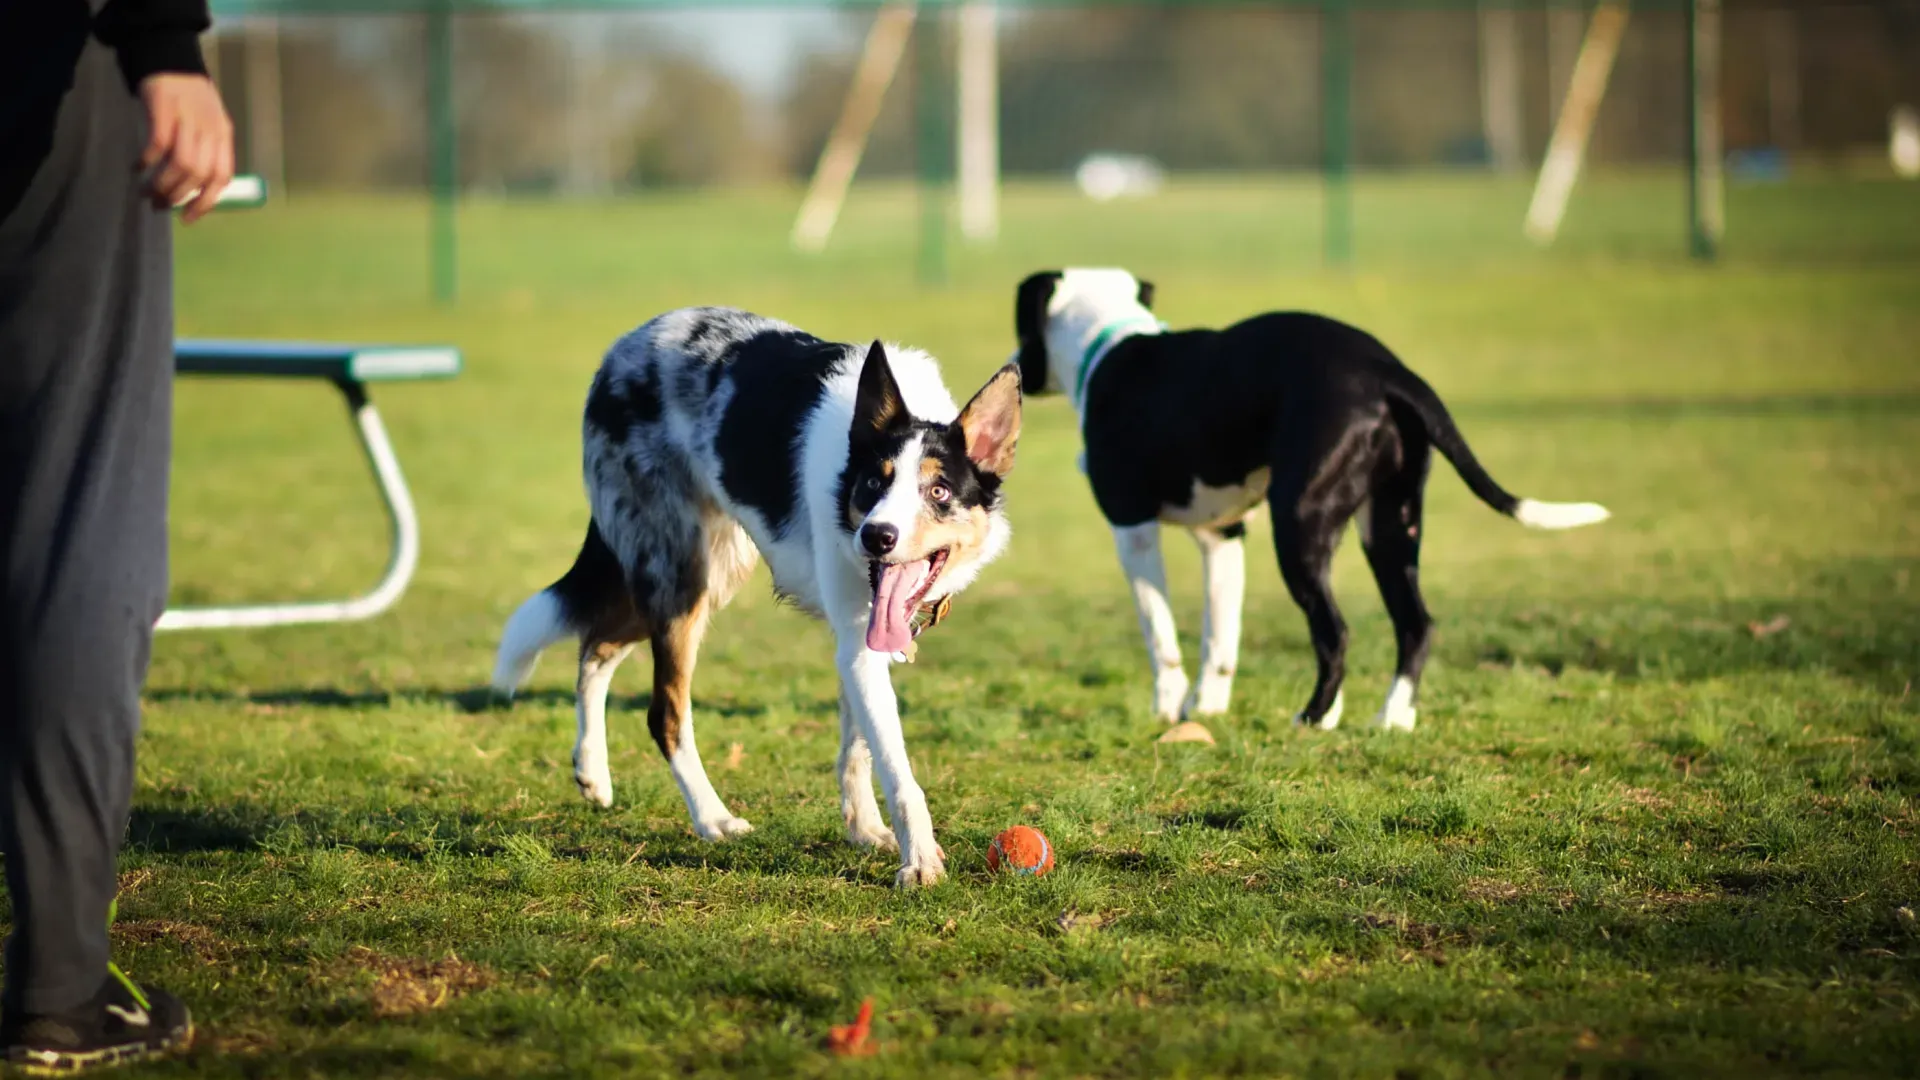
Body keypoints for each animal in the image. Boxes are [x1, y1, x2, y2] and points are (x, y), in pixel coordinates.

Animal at [503, 305, 1029, 883]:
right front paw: (919, 862)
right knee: (663, 711)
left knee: (596, 647)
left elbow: (859, 747)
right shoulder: (860, 643)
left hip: (704, 570)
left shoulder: (862, 642)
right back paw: (712, 818)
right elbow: (897, 769)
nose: (876, 536)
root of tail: (623, 348)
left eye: (938, 492)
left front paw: (863, 829)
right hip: (680, 576)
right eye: (874, 484)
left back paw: (592, 772)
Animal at [1013, 270, 1612, 730]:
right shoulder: (1222, 536)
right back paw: (1389, 719)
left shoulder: (1132, 530)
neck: (1112, 345)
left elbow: (1160, 634)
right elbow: (1219, 639)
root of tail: (1387, 372)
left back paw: (1313, 717)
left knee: (1335, 631)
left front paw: (1167, 708)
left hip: (1300, 527)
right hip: (1391, 526)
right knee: (1414, 624)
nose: (1015, 364)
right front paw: (1206, 710)